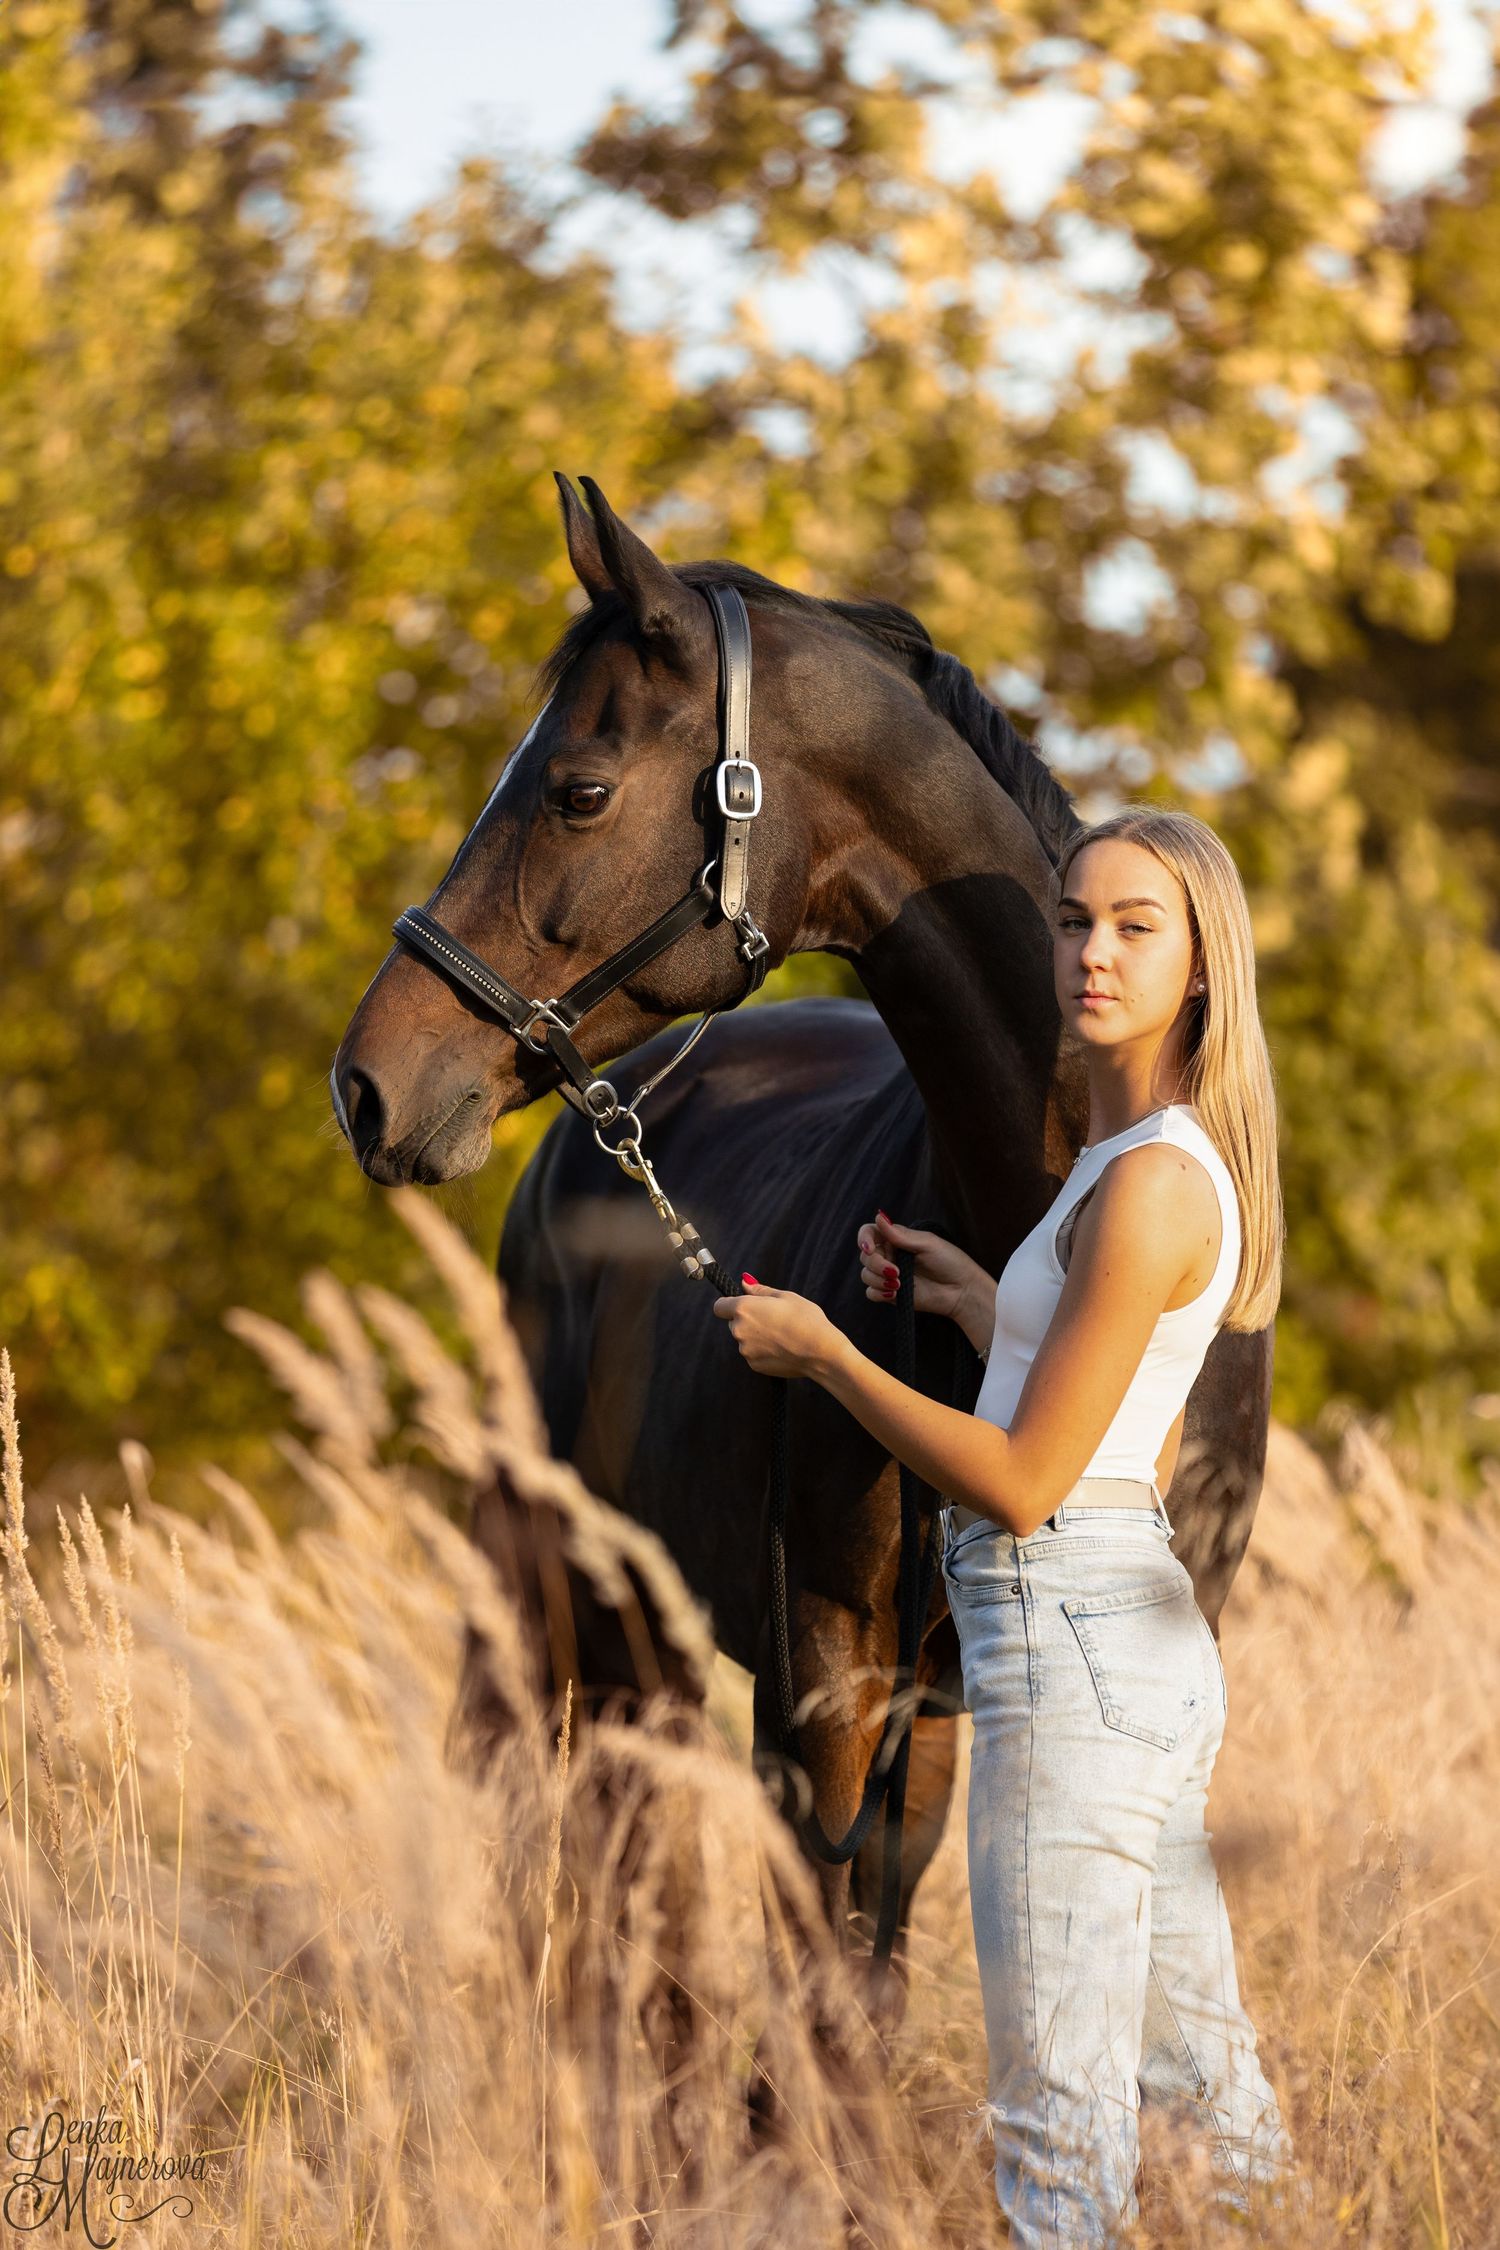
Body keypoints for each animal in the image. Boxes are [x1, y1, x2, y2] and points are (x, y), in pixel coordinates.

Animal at [330, 472, 1273, 2027]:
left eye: (578, 790)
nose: (368, 1087)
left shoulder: (968, 1708)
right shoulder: (827, 1690)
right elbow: (827, 2007)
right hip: (597, 1609)